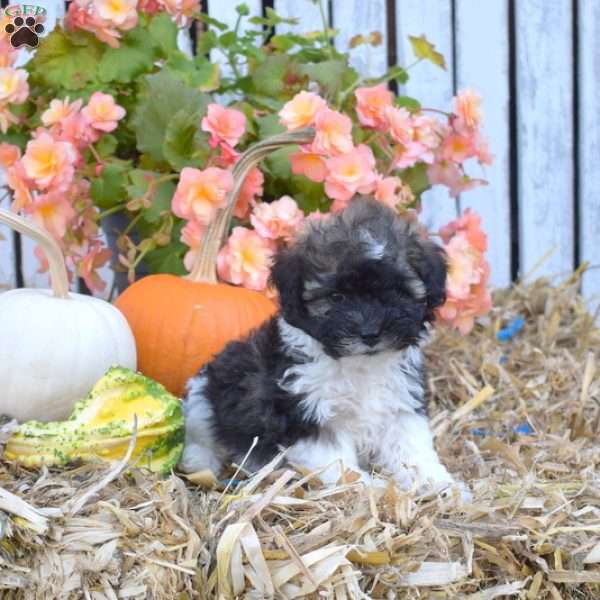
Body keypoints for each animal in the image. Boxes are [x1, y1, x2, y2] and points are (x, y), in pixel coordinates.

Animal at [180, 197, 466, 496]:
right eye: (336, 297)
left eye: (396, 292)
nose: (370, 333)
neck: (359, 366)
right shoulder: (306, 413)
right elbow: (336, 463)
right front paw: (364, 487)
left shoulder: (400, 405)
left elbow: (412, 448)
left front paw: (437, 483)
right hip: (202, 398)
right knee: (202, 437)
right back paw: (202, 465)